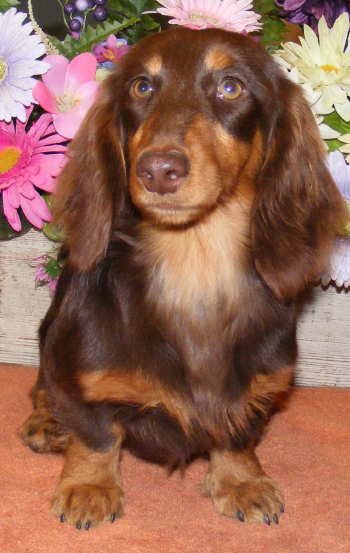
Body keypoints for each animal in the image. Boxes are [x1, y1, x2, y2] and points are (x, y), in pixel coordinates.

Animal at [20, 25, 346, 528]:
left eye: (231, 87)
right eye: (142, 86)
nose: (158, 170)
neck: (194, 261)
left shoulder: (258, 386)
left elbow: (237, 433)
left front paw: (242, 480)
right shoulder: (84, 374)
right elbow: (96, 434)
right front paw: (89, 486)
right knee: (43, 386)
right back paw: (46, 422)